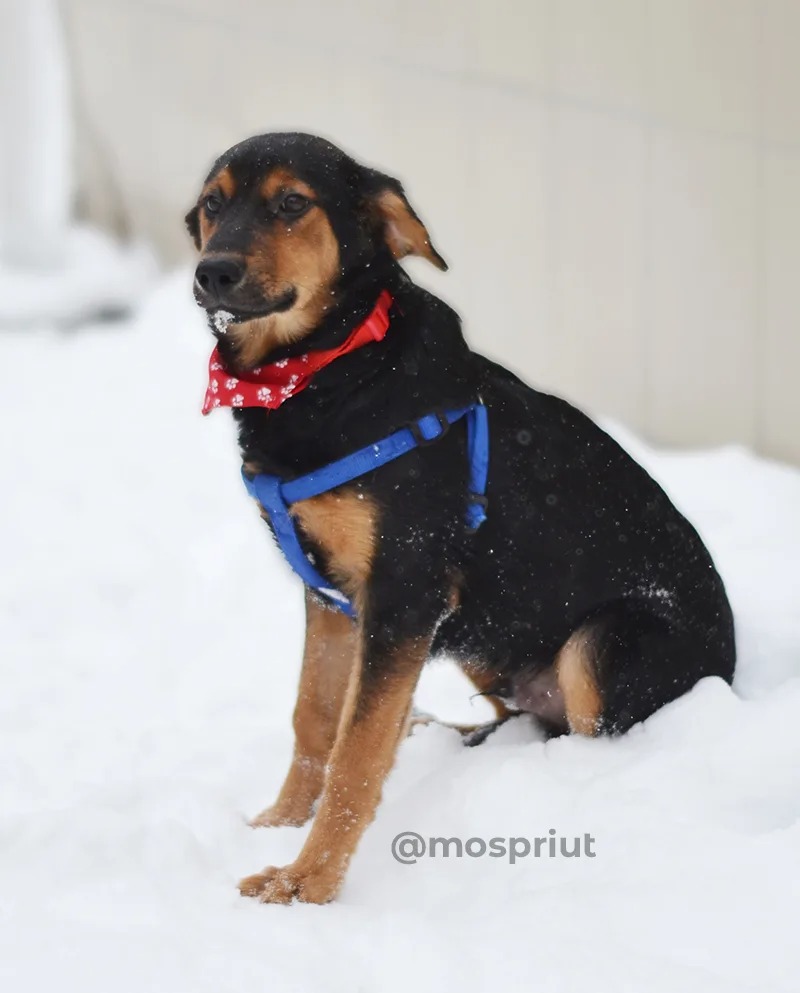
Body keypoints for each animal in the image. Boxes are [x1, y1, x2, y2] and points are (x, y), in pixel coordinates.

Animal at [184, 128, 736, 904]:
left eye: (292, 203)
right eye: (213, 204)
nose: (213, 273)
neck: (330, 369)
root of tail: (732, 668)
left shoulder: (405, 593)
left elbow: (356, 750)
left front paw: (308, 882)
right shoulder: (331, 594)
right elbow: (316, 717)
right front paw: (280, 821)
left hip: (600, 643)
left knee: (583, 731)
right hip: (484, 638)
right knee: (517, 717)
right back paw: (443, 736)